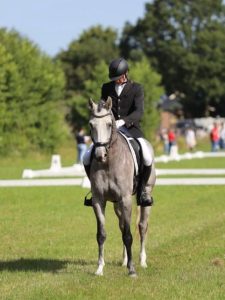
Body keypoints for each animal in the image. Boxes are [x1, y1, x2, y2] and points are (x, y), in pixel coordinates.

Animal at [87, 96, 156, 276]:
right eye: (91, 125)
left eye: (109, 125)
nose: (100, 155)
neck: (108, 163)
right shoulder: (99, 200)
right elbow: (102, 234)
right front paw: (99, 268)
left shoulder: (126, 199)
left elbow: (129, 235)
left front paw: (132, 270)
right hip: (116, 204)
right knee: (122, 226)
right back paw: (124, 260)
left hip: (145, 194)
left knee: (142, 226)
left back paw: (142, 261)